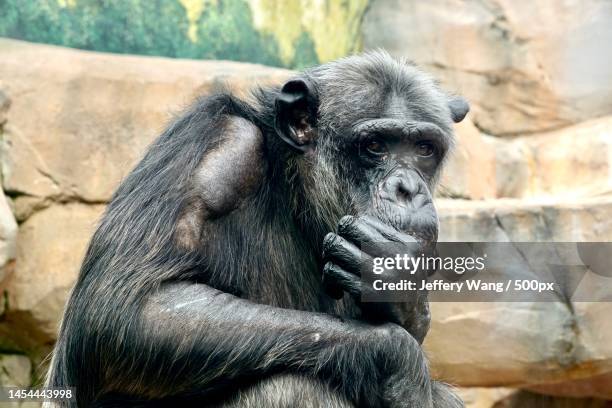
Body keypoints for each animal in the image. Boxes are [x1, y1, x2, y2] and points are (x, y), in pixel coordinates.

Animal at [46, 51, 468, 408]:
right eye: (376, 145)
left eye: (424, 148)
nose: (407, 188)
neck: (293, 188)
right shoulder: (216, 145)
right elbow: (127, 309)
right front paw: (399, 364)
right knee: (290, 387)